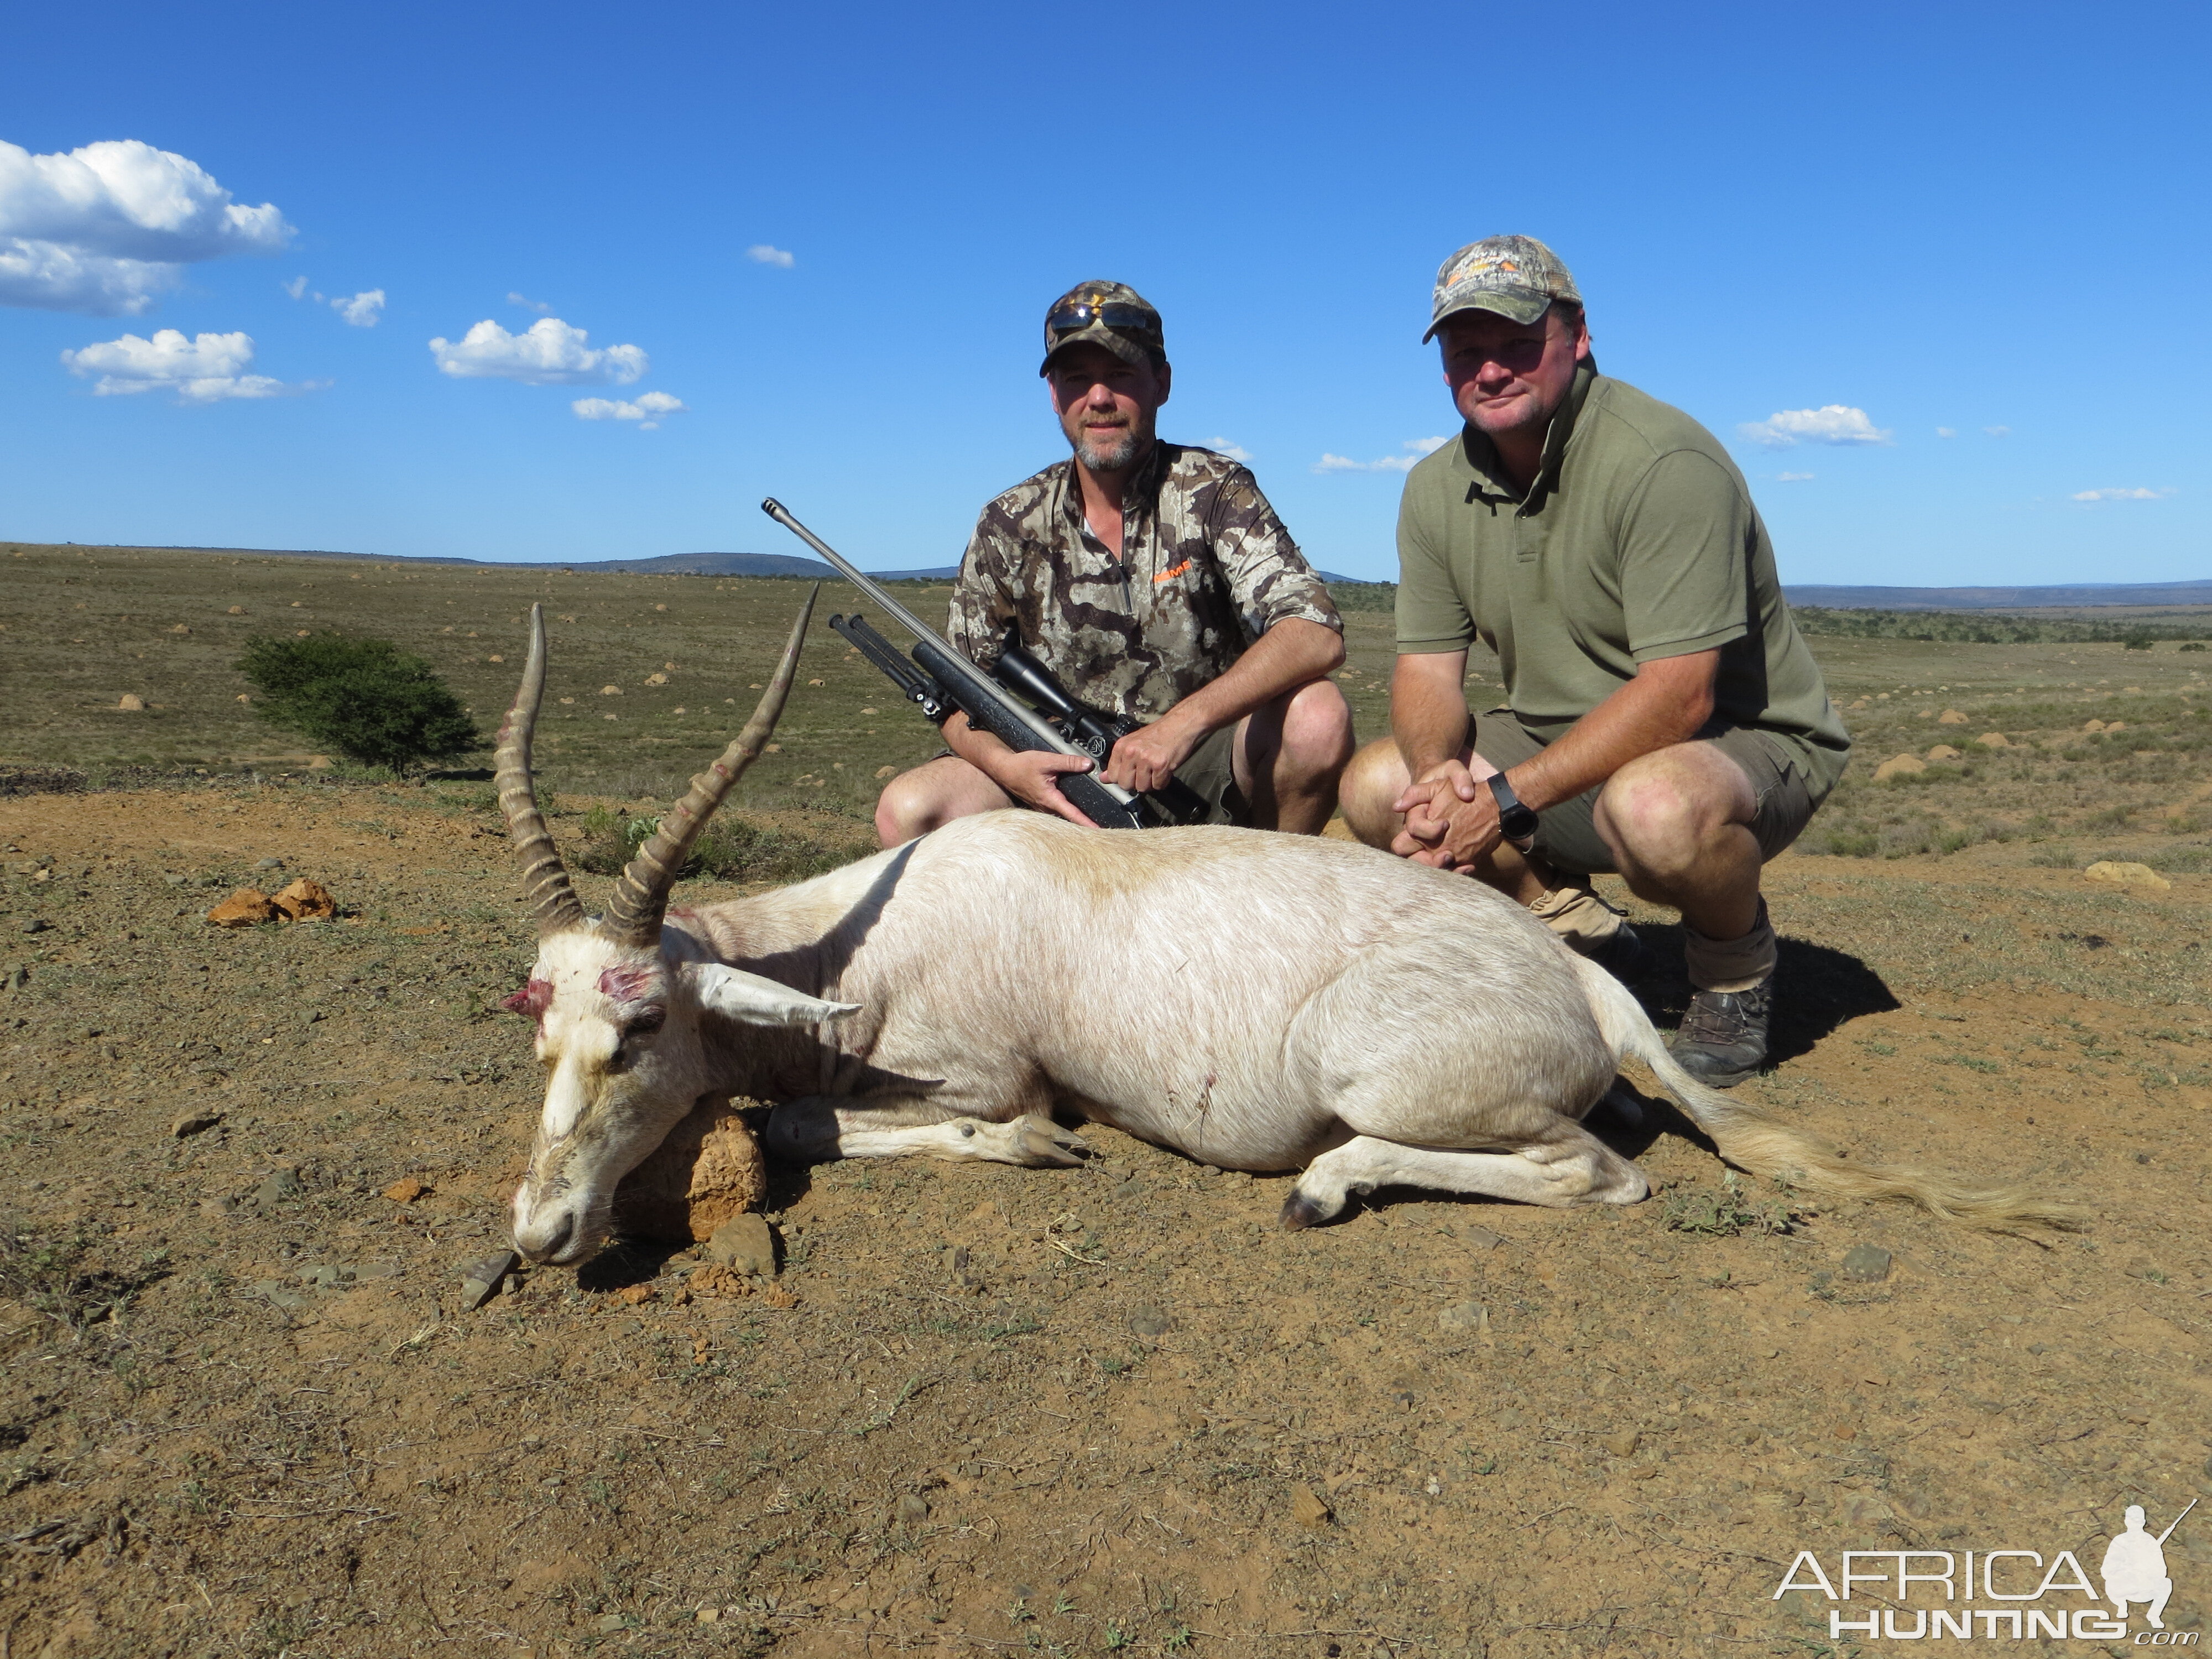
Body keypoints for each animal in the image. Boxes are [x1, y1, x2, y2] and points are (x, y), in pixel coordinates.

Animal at [493, 606, 2079, 1265]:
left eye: (644, 1022)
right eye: (540, 1018)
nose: (540, 1233)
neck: (852, 939)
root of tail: (1582, 986)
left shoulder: (976, 1070)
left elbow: (802, 1125)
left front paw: (1039, 1148)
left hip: (1373, 1072)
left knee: (1598, 1172)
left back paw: (1323, 1188)